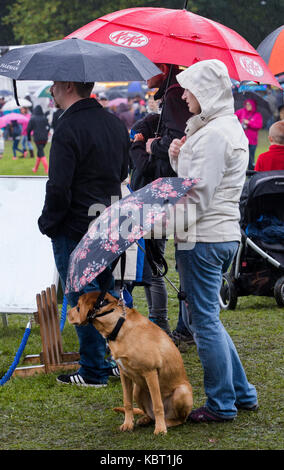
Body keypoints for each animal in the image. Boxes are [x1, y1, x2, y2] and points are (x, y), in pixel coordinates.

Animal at [68, 292, 193, 436]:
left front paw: (160, 429)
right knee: (149, 414)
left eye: (78, 307)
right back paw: (145, 419)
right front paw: (128, 424)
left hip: (181, 392)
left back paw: (166, 423)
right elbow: (127, 403)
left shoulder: (150, 372)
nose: (67, 313)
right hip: (138, 390)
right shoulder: (124, 374)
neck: (118, 326)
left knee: (179, 419)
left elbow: (158, 405)